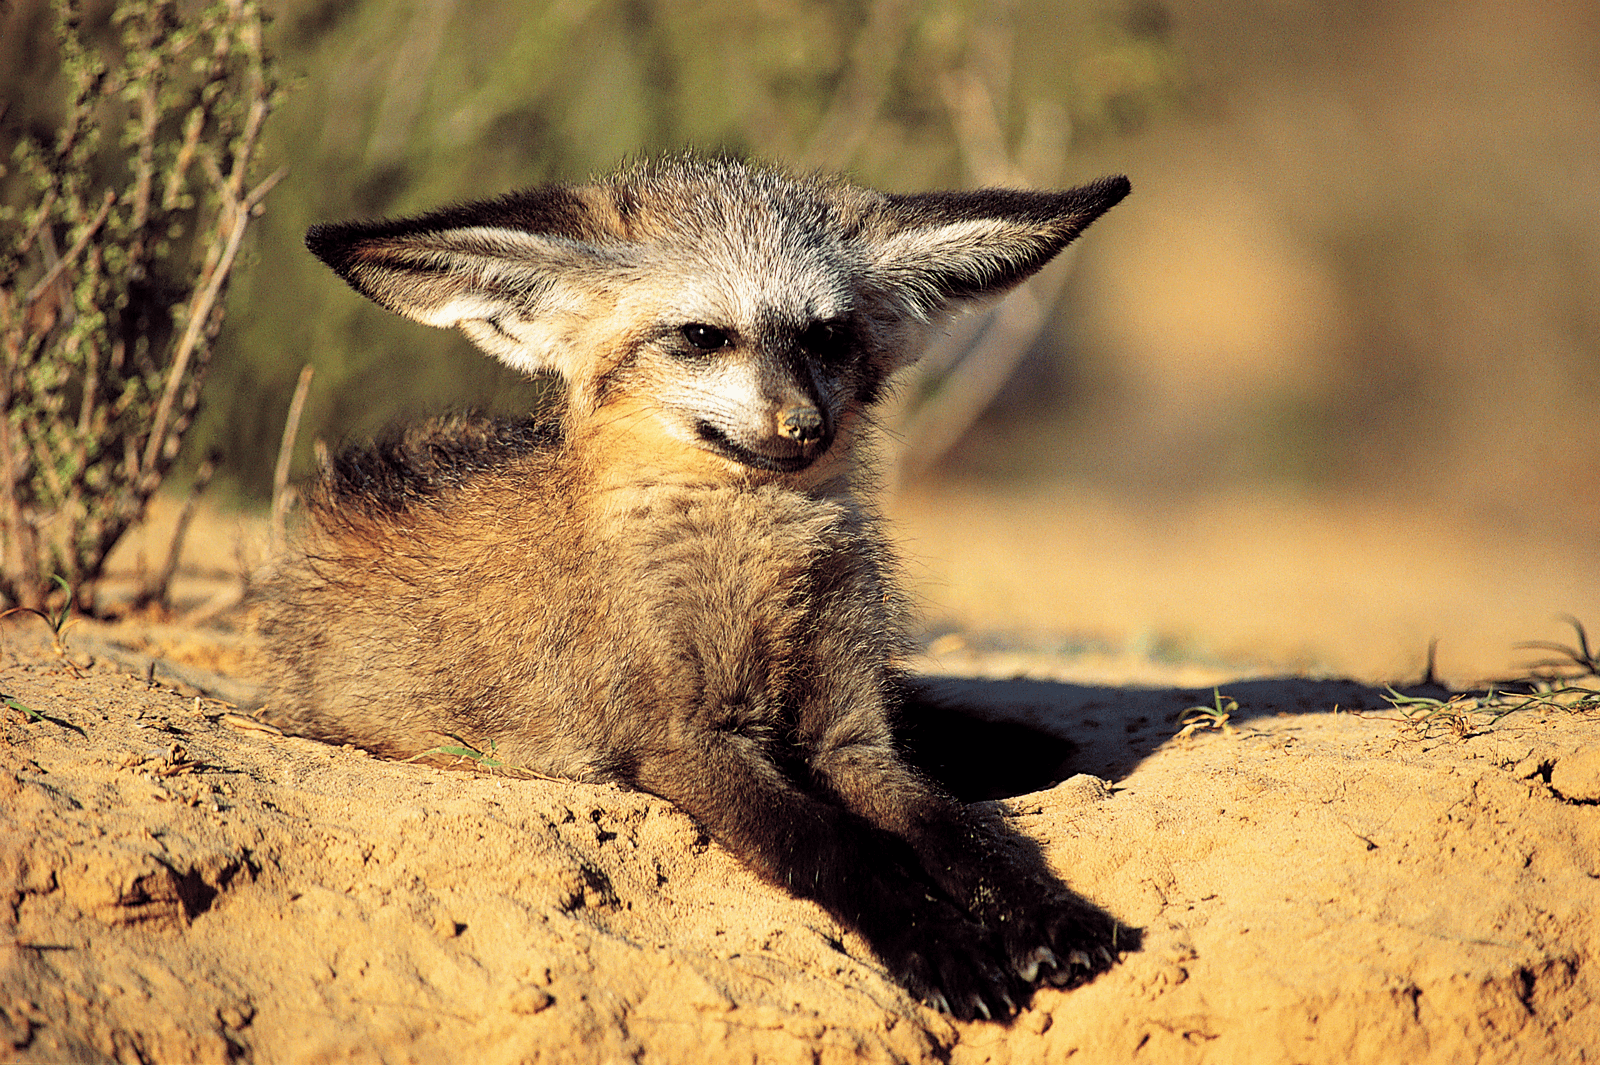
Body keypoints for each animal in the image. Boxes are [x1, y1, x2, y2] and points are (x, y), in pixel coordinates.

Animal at [262, 153, 1132, 1017]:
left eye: (828, 336)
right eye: (704, 337)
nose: (807, 425)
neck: (756, 564)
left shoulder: (852, 735)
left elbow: (961, 834)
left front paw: (1048, 914)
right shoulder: (683, 742)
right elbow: (838, 848)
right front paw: (944, 944)